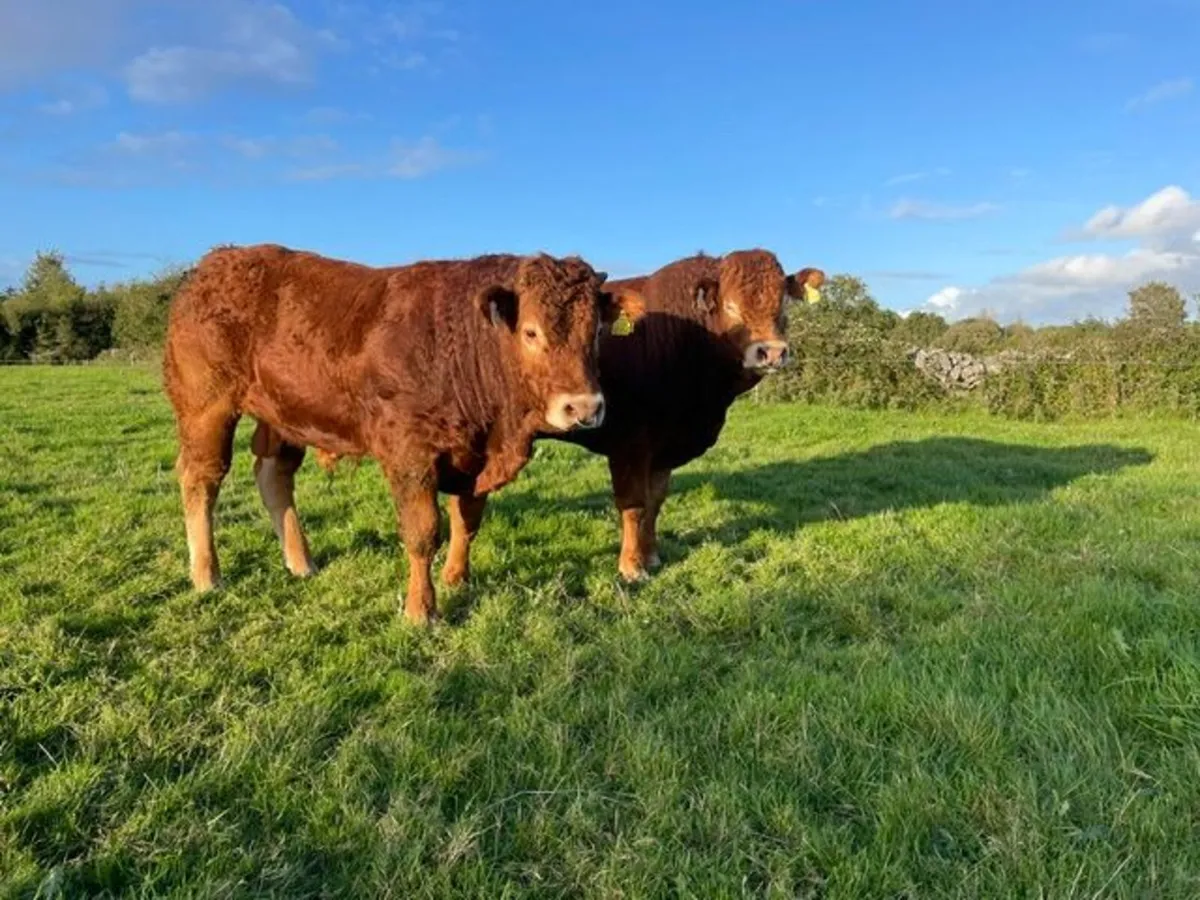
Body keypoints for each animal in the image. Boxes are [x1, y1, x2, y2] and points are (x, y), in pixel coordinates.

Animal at [162, 243, 646, 623]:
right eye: (531, 332)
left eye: (596, 332)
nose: (584, 407)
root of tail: (213, 264)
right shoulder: (411, 454)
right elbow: (423, 532)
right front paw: (421, 610)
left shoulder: (473, 455)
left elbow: (466, 521)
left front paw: (457, 578)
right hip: (206, 407)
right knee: (201, 478)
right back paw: (207, 574)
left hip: (282, 413)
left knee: (273, 475)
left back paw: (300, 562)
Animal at [431, 248, 824, 585]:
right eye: (731, 305)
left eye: (782, 302)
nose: (771, 352)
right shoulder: (630, 445)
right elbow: (633, 505)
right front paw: (632, 567)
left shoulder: (664, 449)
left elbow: (655, 502)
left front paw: (651, 555)